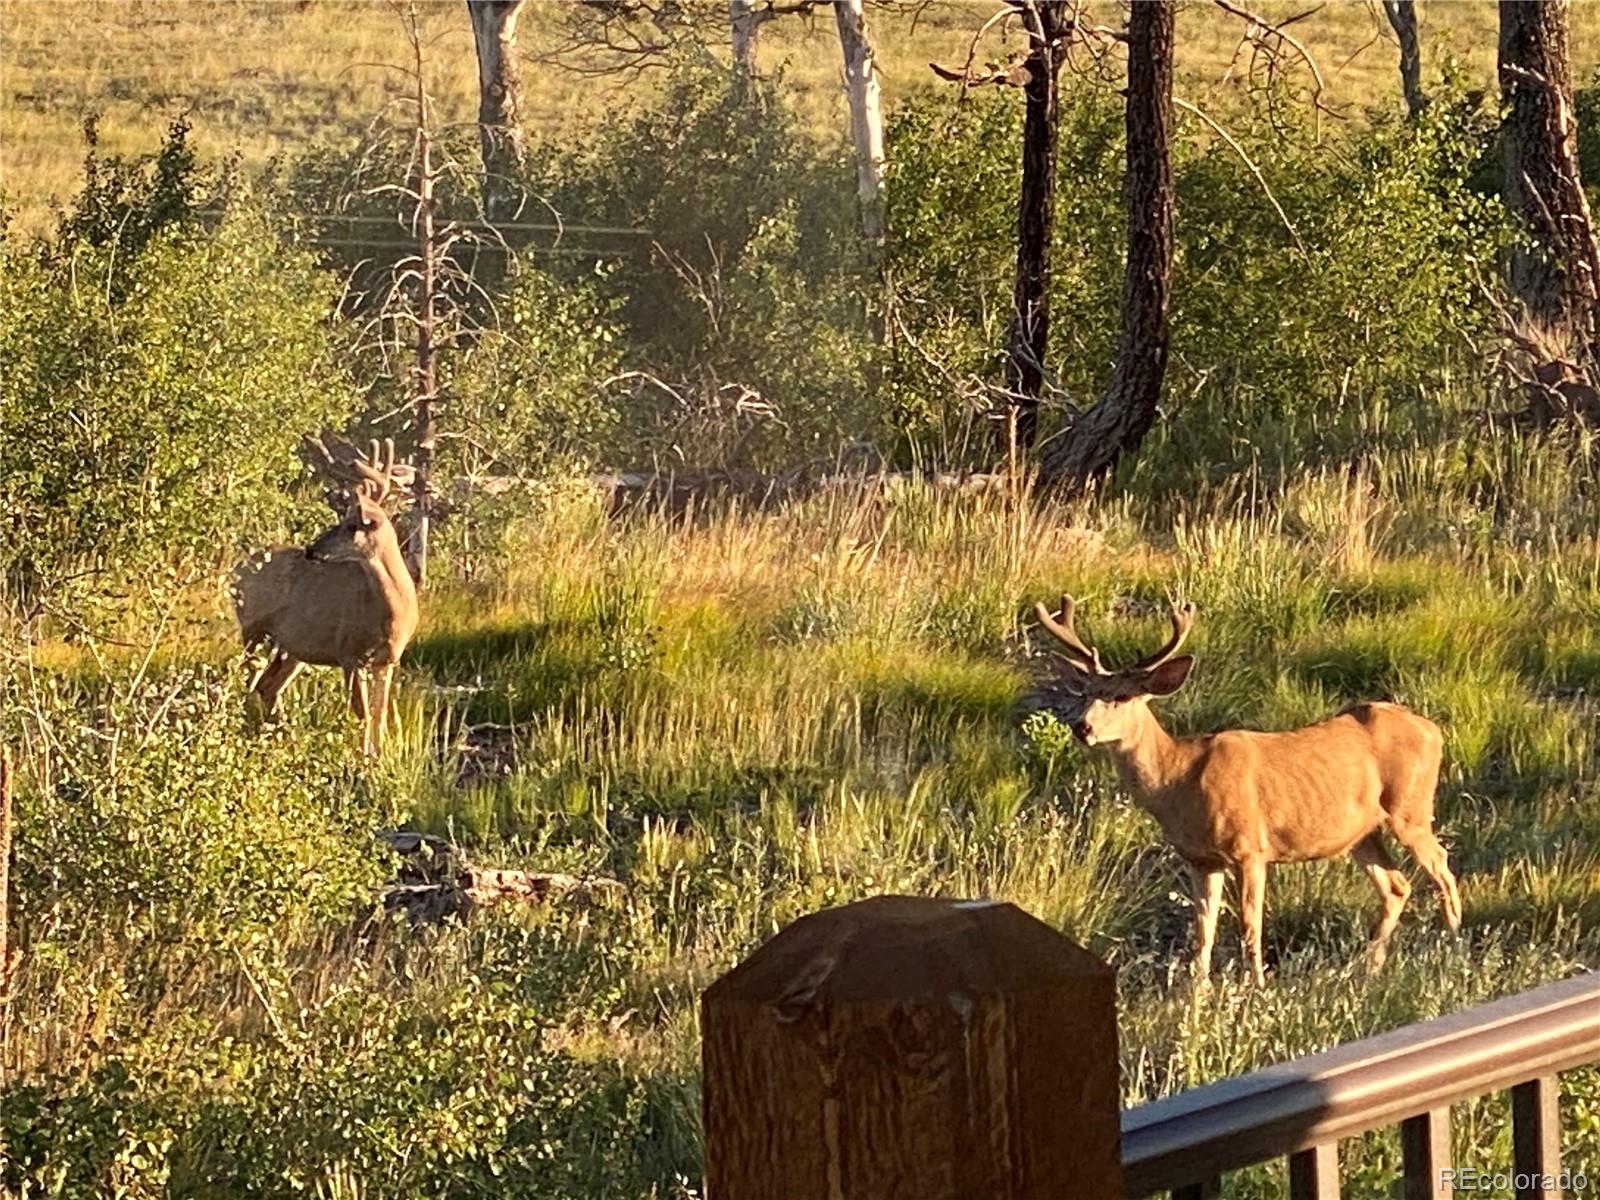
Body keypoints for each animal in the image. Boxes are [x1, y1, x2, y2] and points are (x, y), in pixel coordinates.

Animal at [233, 438, 422, 755]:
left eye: (352, 525)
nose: (311, 549)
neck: (392, 612)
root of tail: (235, 570)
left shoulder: (387, 660)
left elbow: (379, 713)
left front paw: (379, 756)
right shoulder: (348, 652)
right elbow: (361, 712)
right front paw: (363, 757)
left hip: (292, 648)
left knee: (268, 686)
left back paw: (281, 734)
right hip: (253, 630)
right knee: (250, 682)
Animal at [1036, 598, 1465, 985]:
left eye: (1122, 696)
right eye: (1086, 692)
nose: (1082, 727)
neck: (1178, 780)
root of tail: (1434, 730)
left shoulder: (1250, 847)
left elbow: (1249, 924)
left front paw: (1255, 986)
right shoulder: (1200, 859)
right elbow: (1203, 931)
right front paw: (1197, 991)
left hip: (1410, 808)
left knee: (1442, 864)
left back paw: (1451, 944)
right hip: (1362, 833)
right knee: (1396, 886)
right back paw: (1368, 969)